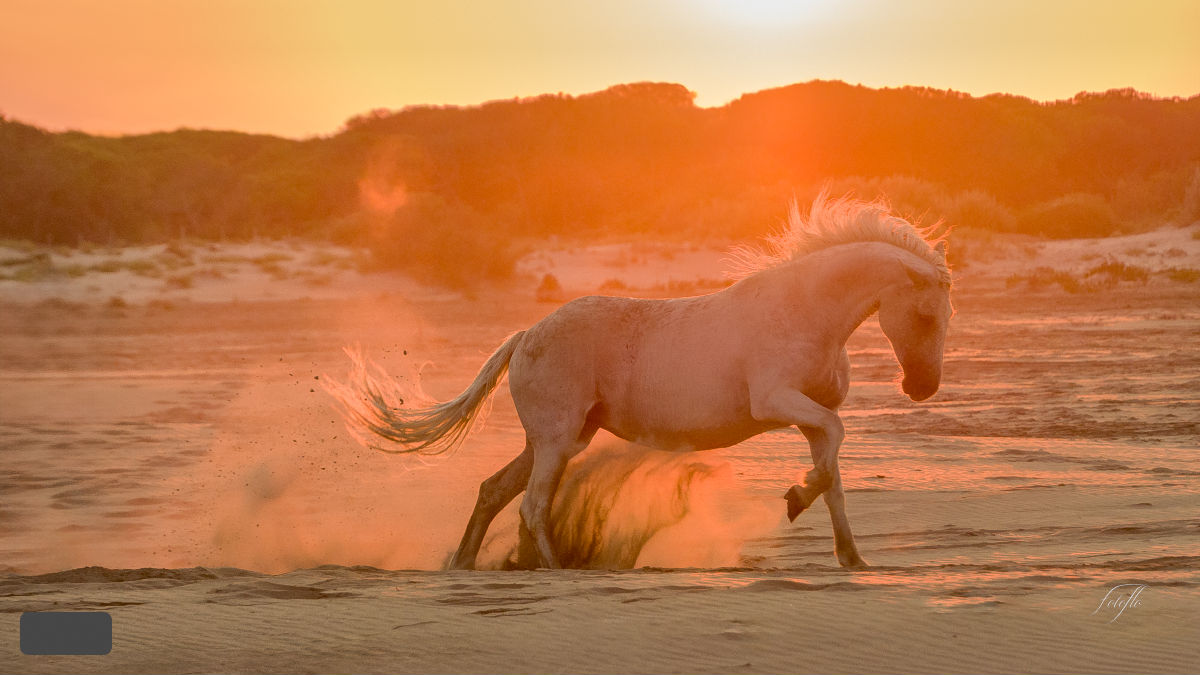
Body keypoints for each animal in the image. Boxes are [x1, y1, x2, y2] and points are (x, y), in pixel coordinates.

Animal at [326, 194, 945, 566]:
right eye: (924, 315)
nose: (922, 389)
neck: (805, 312)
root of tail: (525, 335)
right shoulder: (778, 402)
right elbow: (835, 446)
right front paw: (795, 499)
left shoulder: (808, 416)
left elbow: (834, 471)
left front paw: (852, 558)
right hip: (556, 441)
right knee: (530, 506)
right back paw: (558, 570)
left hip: (558, 440)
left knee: (495, 492)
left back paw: (475, 565)